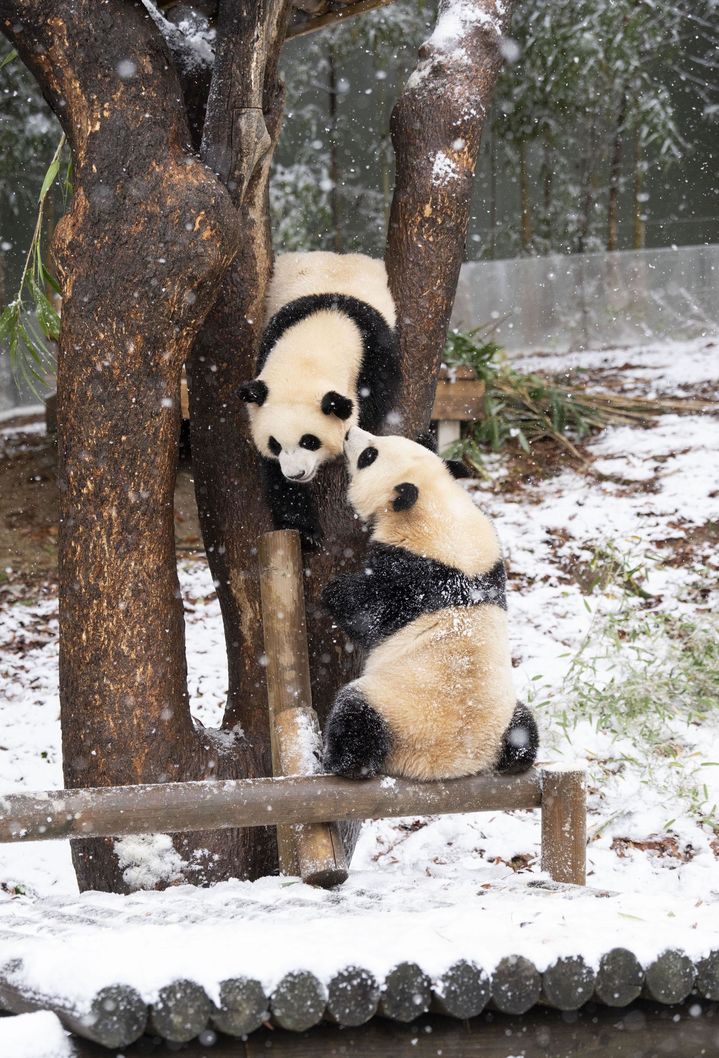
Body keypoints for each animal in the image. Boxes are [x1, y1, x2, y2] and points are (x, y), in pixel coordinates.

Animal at [240, 250, 399, 541]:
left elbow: (373, 404)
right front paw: (304, 531)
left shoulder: (376, 351)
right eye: (275, 444)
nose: (297, 473)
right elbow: (274, 474)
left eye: (310, 441)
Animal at [323, 425, 537, 782]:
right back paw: (518, 760)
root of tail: (447, 766)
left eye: (369, 455)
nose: (350, 432)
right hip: (506, 715)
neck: (437, 505)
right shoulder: (490, 562)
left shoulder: (412, 577)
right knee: (525, 729)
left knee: (355, 716)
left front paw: (333, 590)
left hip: (394, 708)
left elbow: (369, 612)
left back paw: (343, 763)